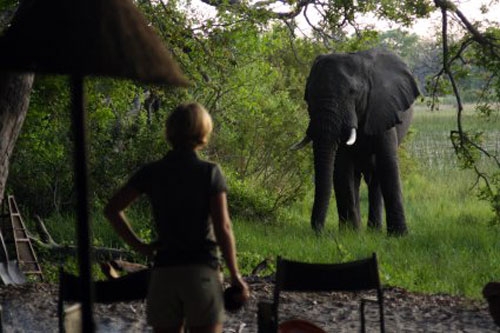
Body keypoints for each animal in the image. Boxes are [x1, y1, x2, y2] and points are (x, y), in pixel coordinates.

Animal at [292, 48, 420, 235]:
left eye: (352, 92)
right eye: (308, 95)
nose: (319, 231)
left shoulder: (382, 110)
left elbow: (387, 164)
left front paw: (399, 235)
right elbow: (343, 168)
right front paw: (351, 233)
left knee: (375, 178)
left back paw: (374, 231)